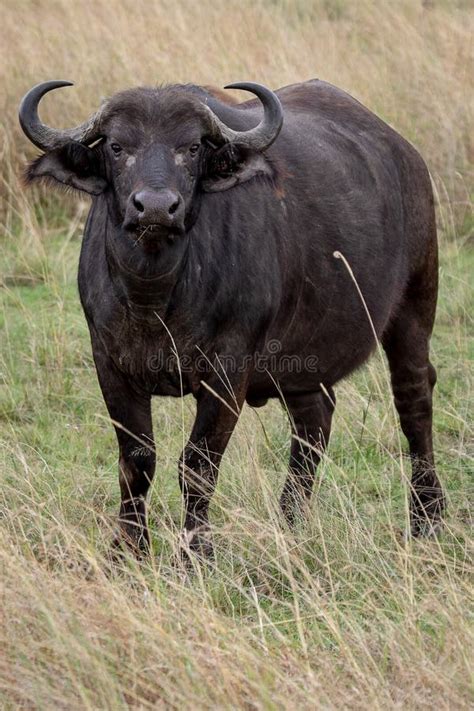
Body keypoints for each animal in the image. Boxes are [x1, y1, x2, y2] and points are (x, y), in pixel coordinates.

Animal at [18, 78, 446, 556]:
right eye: (115, 145)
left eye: (192, 147)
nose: (155, 207)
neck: (156, 297)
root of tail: (406, 155)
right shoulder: (110, 365)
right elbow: (137, 460)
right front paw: (127, 548)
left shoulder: (228, 372)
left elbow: (198, 464)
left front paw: (195, 553)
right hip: (302, 360)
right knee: (314, 419)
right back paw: (289, 521)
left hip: (414, 307)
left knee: (414, 399)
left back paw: (427, 516)